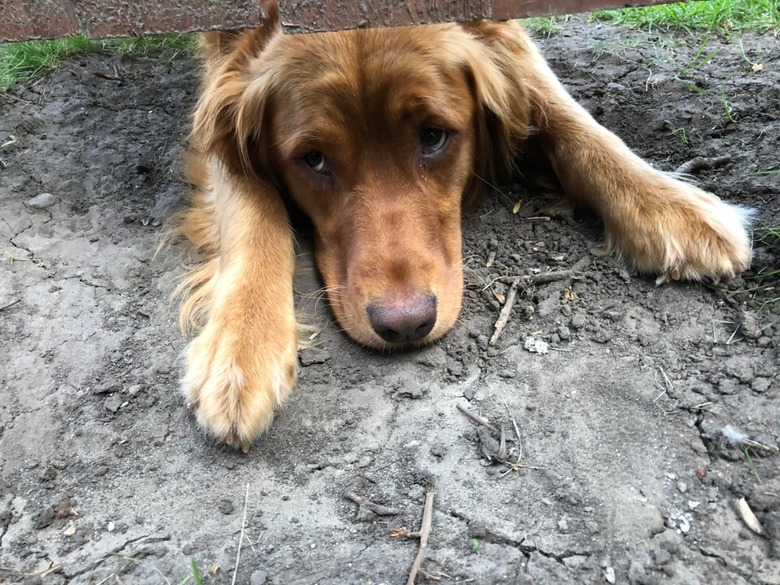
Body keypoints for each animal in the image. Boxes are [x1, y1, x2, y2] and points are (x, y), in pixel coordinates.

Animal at [175, 0, 748, 452]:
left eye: (434, 136)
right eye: (313, 160)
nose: (405, 323)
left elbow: (560, 110)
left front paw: (669, 204)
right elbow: (249, 203)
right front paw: (242, 345)